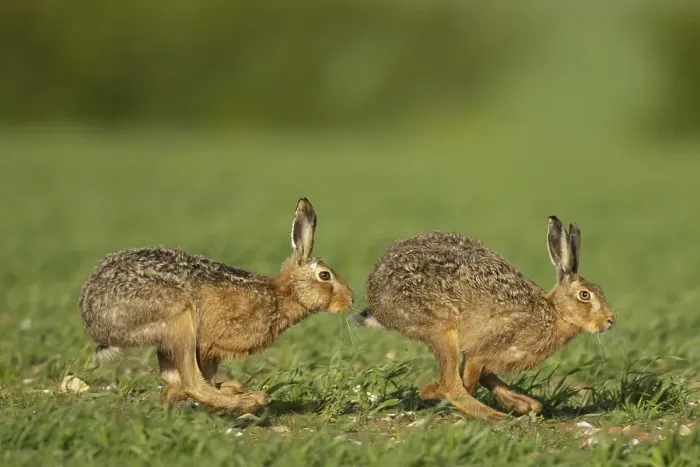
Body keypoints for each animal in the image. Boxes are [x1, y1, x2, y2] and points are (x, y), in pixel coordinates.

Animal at [79, 198, 354, 415]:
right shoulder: (209, 344)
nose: (350, 299)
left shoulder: (211, 352)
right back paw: (251, 399)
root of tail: (93, 317)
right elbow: (199, 380)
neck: (281, 295)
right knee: (192, 383)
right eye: (325, 276)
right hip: (180, 320)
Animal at [354, 216, 615, 420]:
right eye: (585, 295)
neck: (553, 312)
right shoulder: (485, 347)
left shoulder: (488, 358)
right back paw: (489, 414)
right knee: (453, 386)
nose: (611, 321)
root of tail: (376, 297)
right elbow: (469, 379)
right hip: (441, 329)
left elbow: (487, 378)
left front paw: (524, 404)